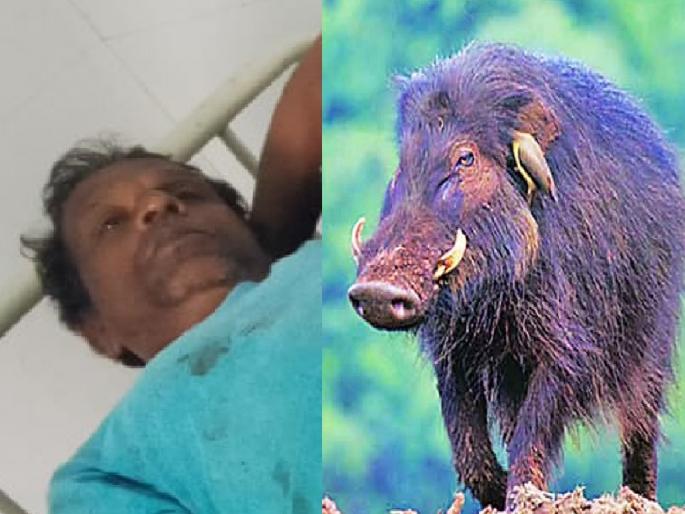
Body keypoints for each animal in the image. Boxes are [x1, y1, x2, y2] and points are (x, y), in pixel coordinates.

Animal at [348, 42, 685, 510]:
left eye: (466, 158)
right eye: (405, 160)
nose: (377, 290)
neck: (495, 294)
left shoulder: (566, 348)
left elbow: (533, 432)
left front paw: (524, 497)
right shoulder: (454, 351)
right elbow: (467, 441)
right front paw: (497, 491)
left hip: (651, 345)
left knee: (640, 425)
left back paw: (639, 499)